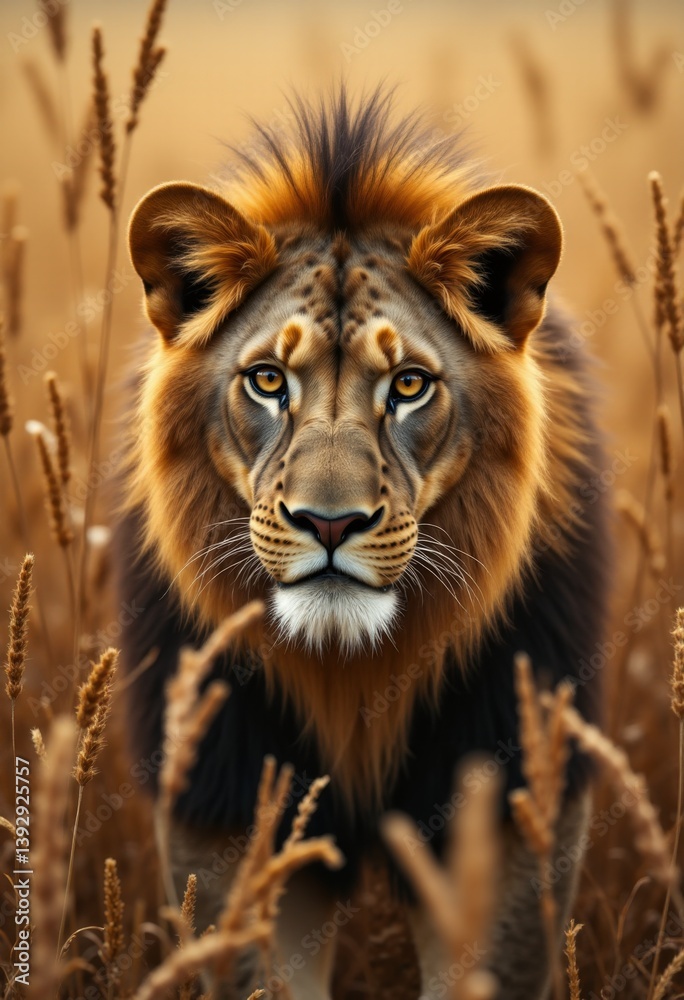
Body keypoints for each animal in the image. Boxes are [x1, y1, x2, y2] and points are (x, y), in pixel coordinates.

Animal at [118, 88, 611, 999]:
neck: (351, 673)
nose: (330, 523)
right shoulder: (229, 797)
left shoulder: (507, 788)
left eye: (409, 385)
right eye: (267, 381)